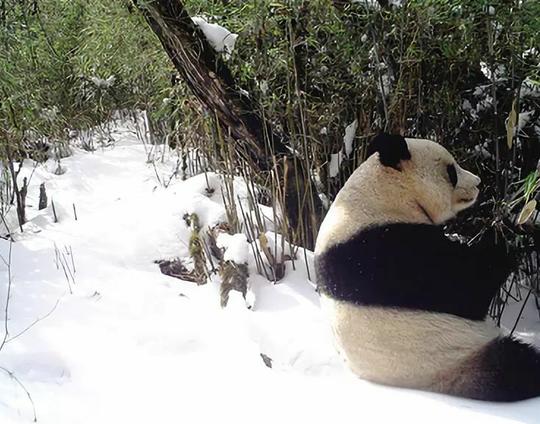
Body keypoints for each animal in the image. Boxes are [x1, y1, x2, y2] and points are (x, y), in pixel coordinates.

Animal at [314, 134, 540, 402]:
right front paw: (510, 233)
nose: (478, 182)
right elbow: (464, 288)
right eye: (452, 171)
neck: (384, 194)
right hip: (451, 359)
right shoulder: (386, 249)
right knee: (514, 366)